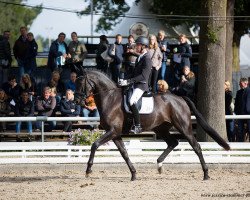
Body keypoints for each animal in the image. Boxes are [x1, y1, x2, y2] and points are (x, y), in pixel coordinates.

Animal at [74, 69, 230, 181]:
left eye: (81, 84)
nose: (77, 101)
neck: (110, 99)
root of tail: (180, 98)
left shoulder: (112, 131)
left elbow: (94, 145)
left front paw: (88, 170)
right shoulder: (115, 134)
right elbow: (124, 153)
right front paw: (134, 174)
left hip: (184, 127)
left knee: (196, 146)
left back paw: (206, 174)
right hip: (161, 129)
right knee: (173, 142)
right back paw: (159, 165)